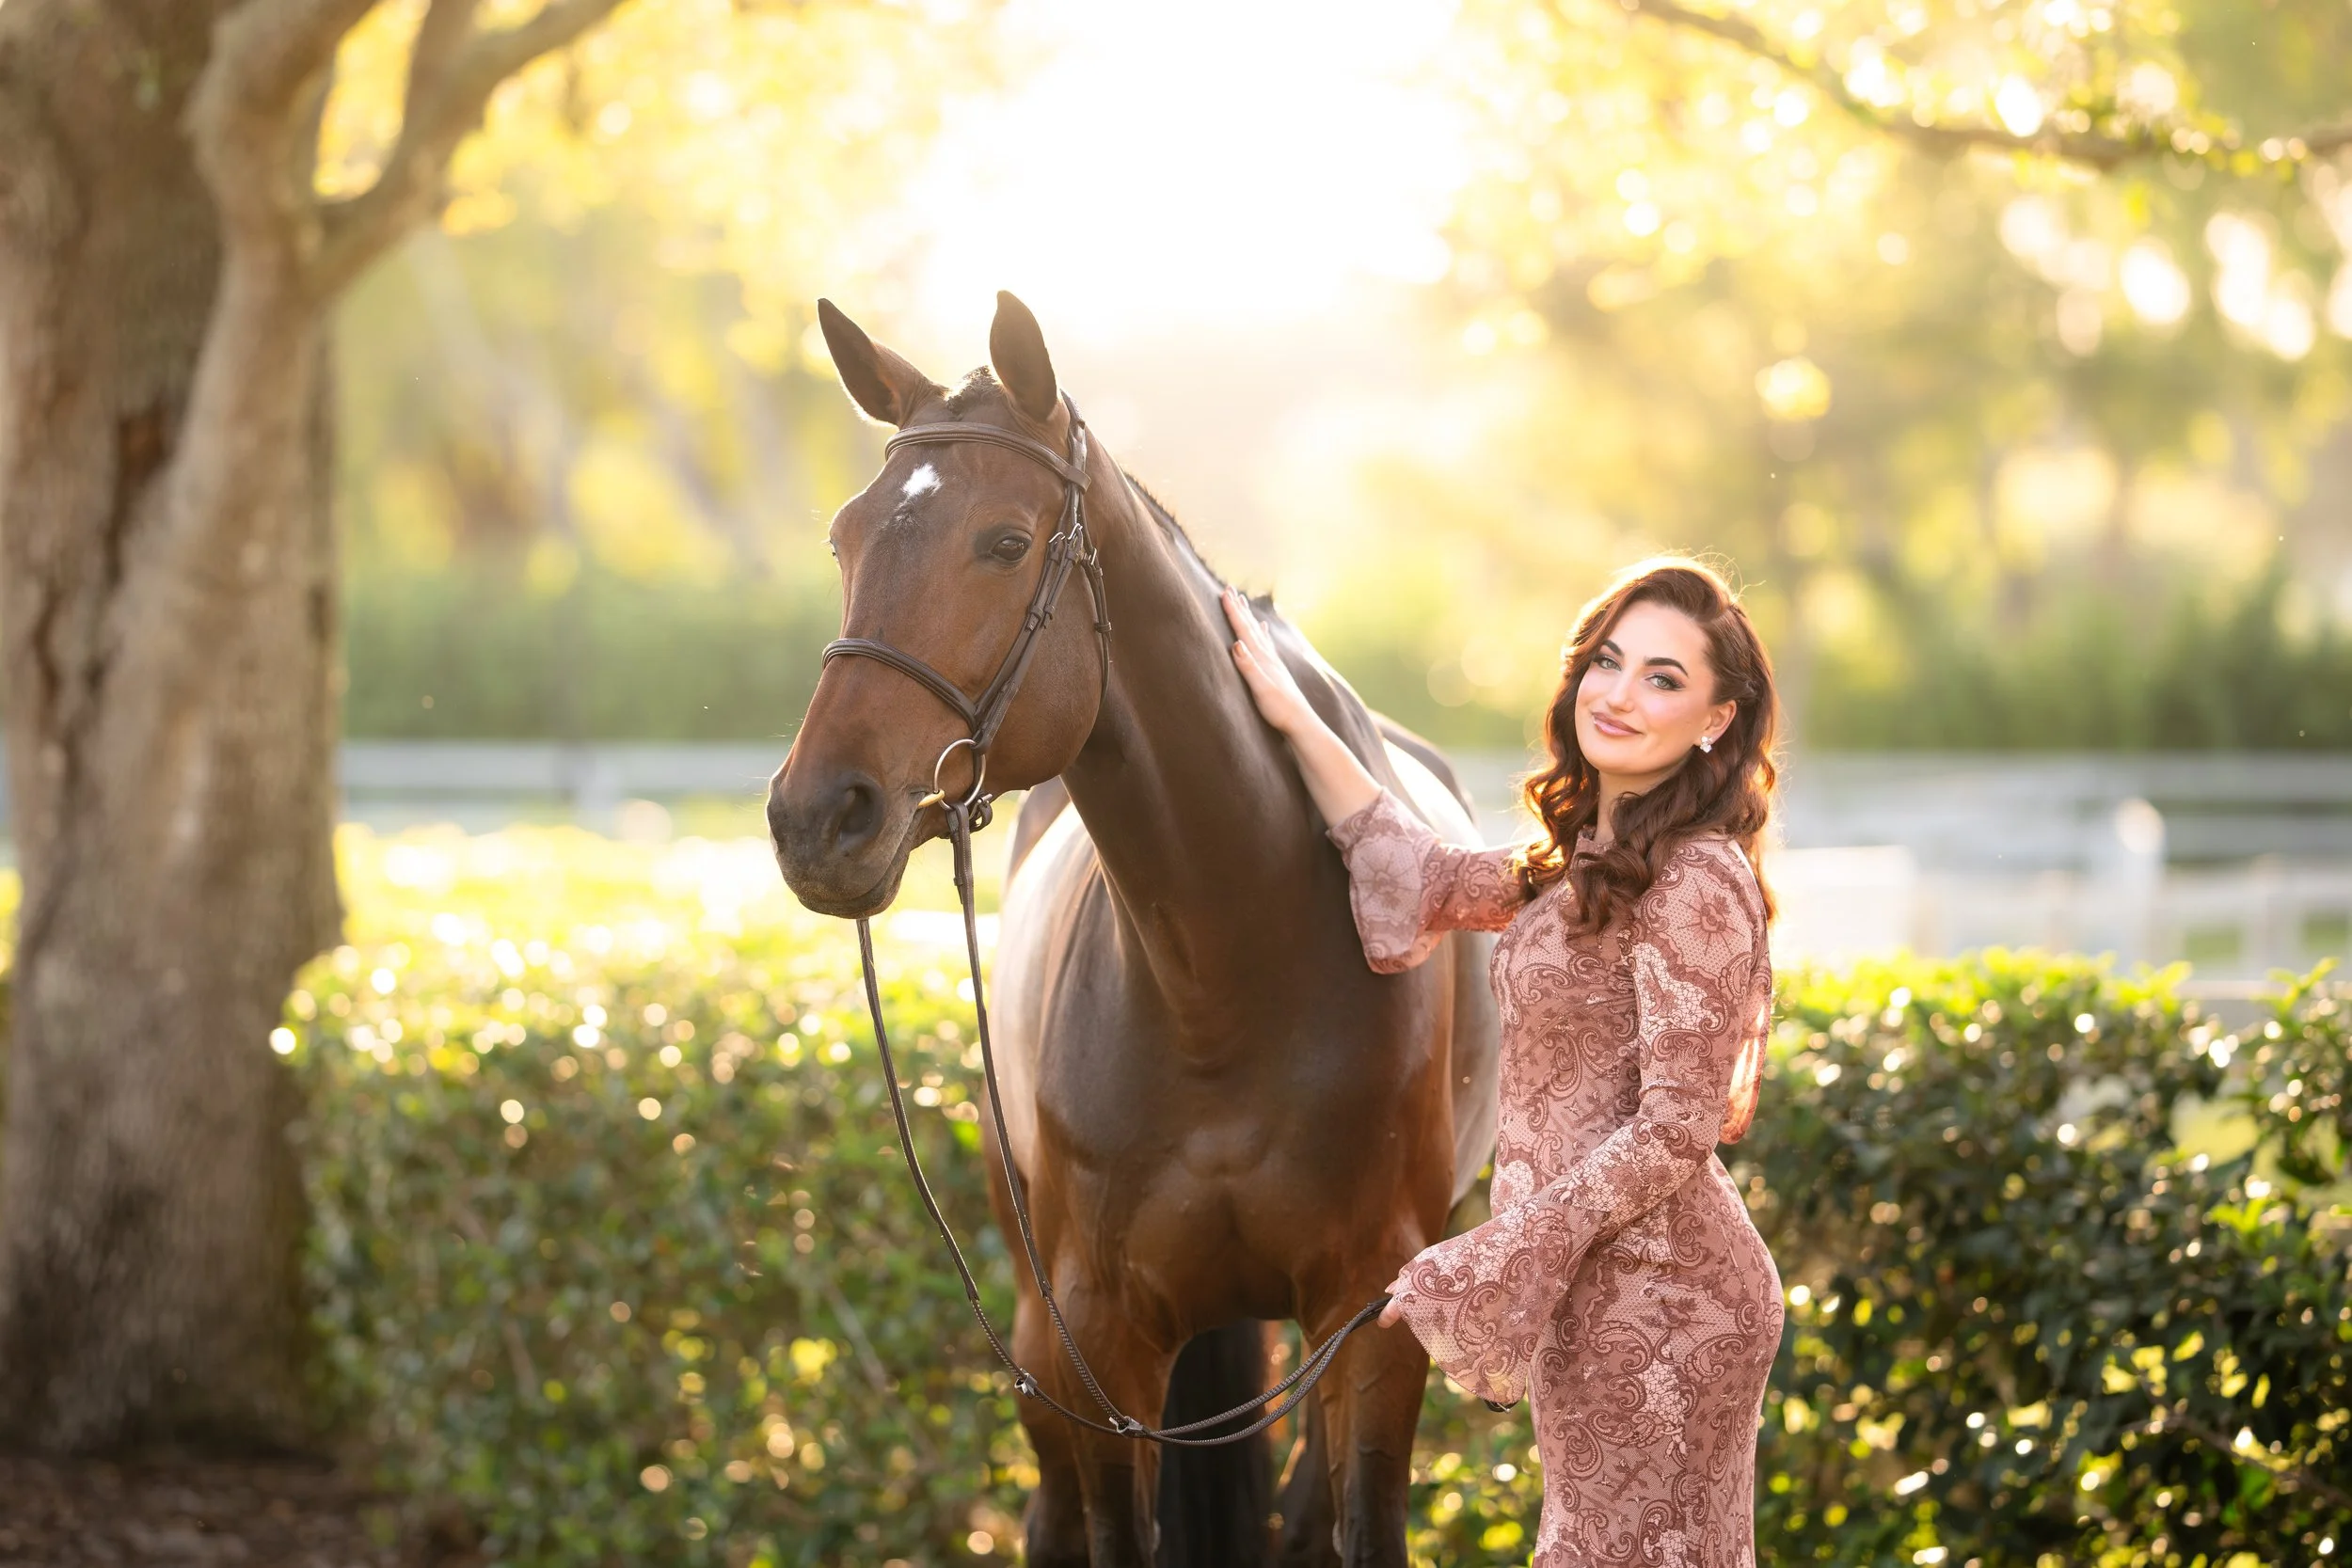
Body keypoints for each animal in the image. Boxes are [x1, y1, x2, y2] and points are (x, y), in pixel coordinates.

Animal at [766, 291, 1500, 1568]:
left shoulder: (1371, 1317)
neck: (1231, 971)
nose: (818, 817)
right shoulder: (1096, 1338)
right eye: (844, 538)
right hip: (1035, 1322)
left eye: (1005, 542)